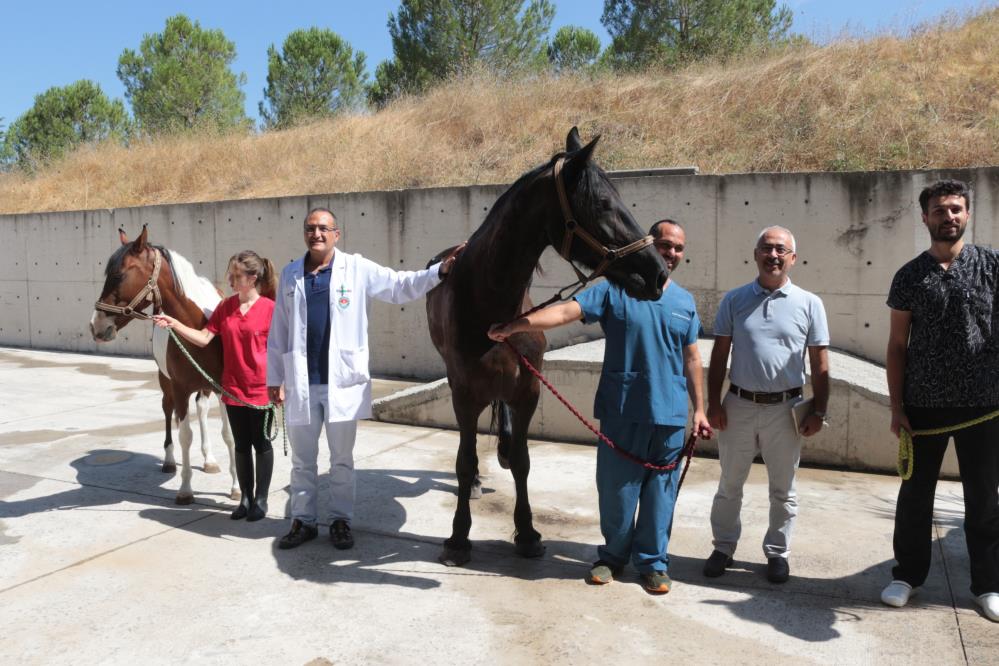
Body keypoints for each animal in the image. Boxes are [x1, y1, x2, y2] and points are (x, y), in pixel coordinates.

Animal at [90, 228, 238, 504]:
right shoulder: (179, 389)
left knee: (202, 409)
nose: (96, 326)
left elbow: (229, 435)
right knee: (168, 412)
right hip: (165, 381)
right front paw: (186, 490)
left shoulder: (223, 388)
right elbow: (185, 435)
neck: (198, 326)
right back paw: (169, 461)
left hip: (203, 387)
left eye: (118, 275)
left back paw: (209, 460)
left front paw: (236, 488)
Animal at [426, 127, 668, 564]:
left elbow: (523, 461)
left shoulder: (528, 390)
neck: (489, 305)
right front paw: (458, 537)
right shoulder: (464, 394)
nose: (658, 274)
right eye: (604, 204)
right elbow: (465, 461)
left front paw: (527, 532)